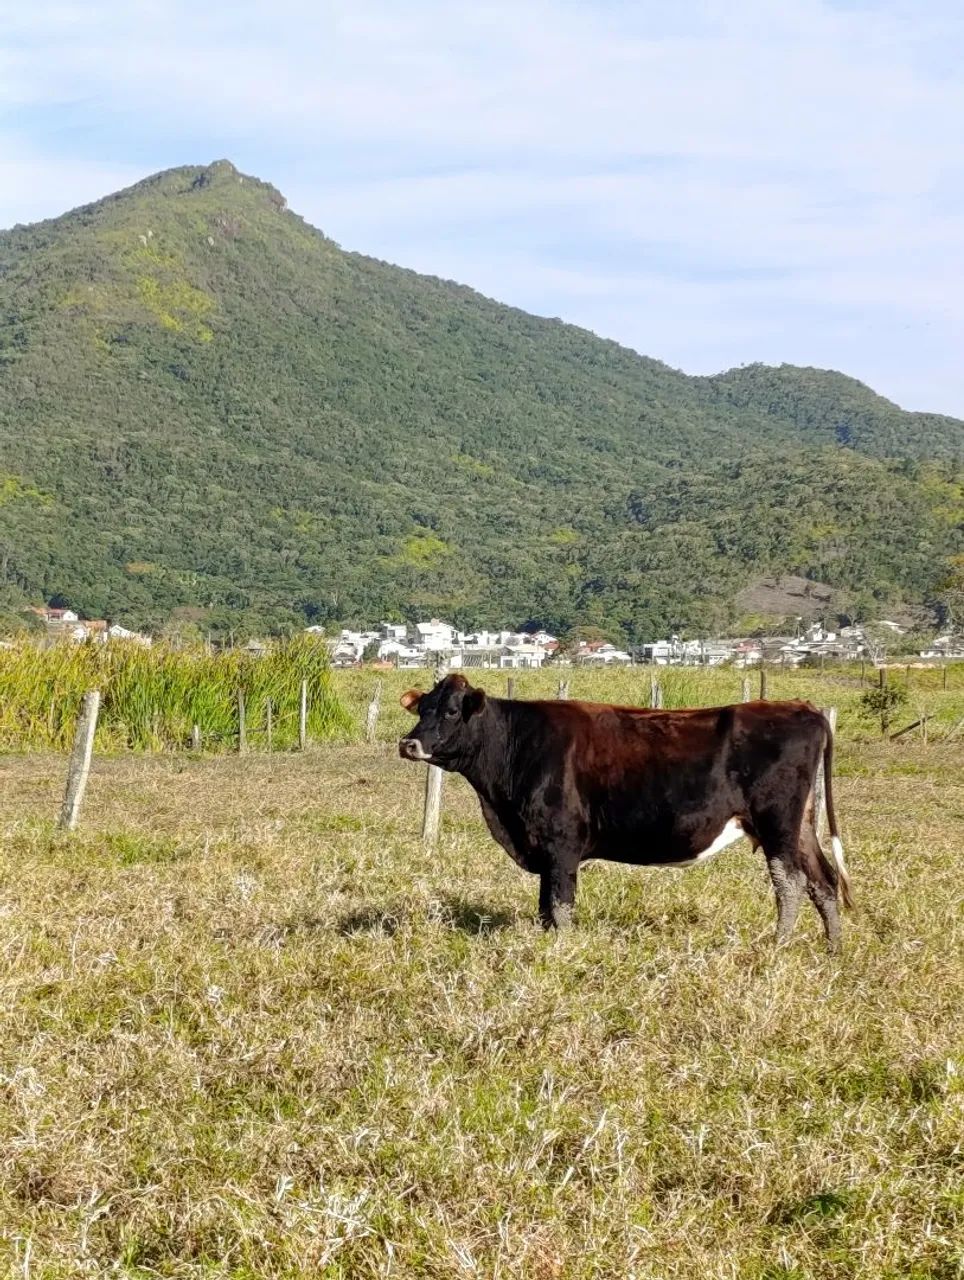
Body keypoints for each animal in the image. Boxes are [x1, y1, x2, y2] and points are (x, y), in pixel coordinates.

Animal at [399, 674, 853, 952]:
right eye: (422, 709)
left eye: (452, 711)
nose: (408, 744)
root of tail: (803, 707)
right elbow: (545, 908)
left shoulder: (561, 844)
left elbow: (559, 906)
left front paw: (561, 951)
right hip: (800, 826)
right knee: (824, 881)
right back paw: (833, 949)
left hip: (777, 821)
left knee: (790, 881)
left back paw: (779, 946)